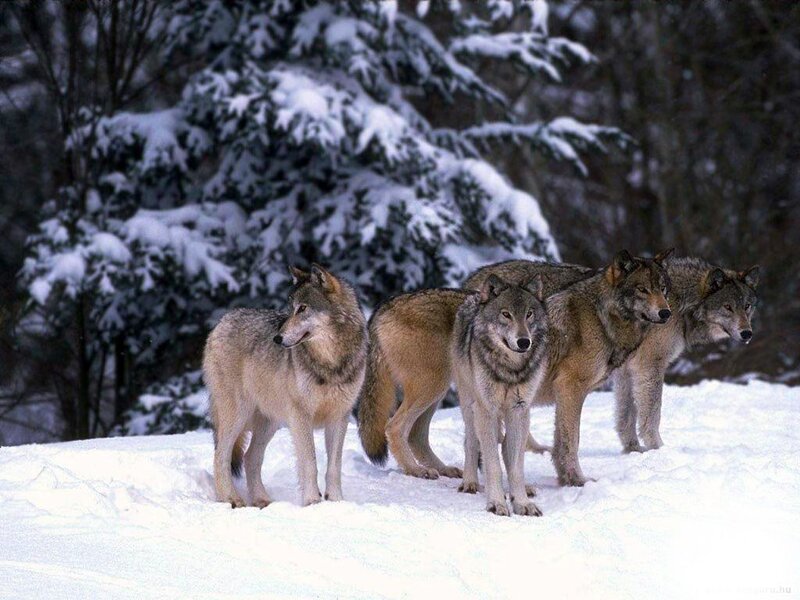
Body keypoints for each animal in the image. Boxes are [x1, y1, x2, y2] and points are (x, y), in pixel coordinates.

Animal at [204, 264, 368, 508]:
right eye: (290, 310)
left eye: (302, 308)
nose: (277, 339)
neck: (331, 363)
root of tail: (222, 321)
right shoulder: (301, 416)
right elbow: (310, 462)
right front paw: (312, 502)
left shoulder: (340, 417)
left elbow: (334, 467)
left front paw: (337, 502)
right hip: (238, 415)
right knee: (220, 456)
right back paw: (231, 499)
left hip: (269, 421)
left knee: (250, 457)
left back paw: (262, 500)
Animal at [452, 274, 548, 516]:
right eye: (506, 314)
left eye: (529, 314)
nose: (524, 342)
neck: (510, 369)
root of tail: (475, 296)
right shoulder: (486, 409)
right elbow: (492, 464)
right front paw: (496, 502)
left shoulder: (519, 409)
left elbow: (515, 466)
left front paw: (521, 502)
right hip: (470, 405)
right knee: (471, 441)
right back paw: (470, 483)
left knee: (505, 446)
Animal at [614, 257, 759, 452]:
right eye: (728, 307)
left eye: (747, 306)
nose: (747, 334)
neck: (681, 305)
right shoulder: (649, 365)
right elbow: (652, 414)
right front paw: (658, 449)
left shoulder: (626, 370)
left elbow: (626, 417)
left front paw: (634, 451)